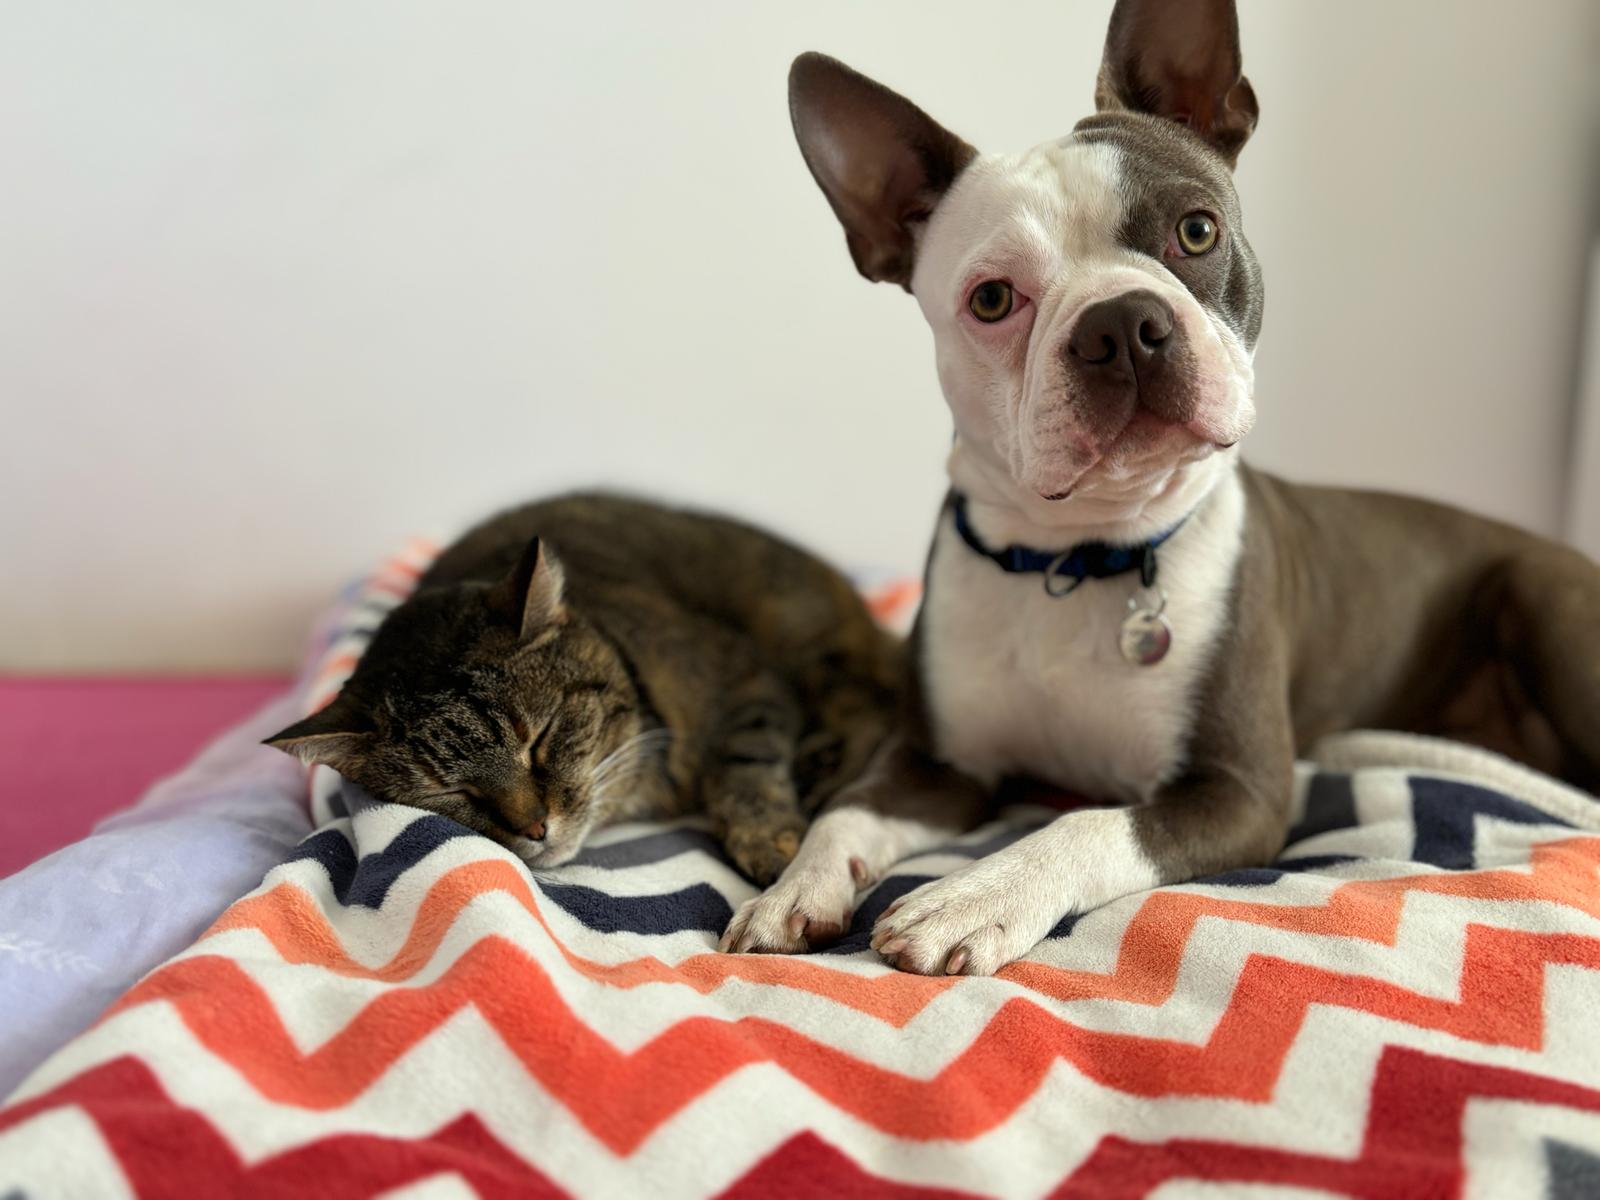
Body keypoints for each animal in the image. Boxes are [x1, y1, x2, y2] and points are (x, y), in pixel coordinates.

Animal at [268, 492, 908, 889]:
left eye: (540, 739)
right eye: (452, 792)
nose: (533, 828)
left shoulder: (748, 680)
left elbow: (744, 763)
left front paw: (766, 837)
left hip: (800, 631)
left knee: (873, 704)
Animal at [726, 0, 1600, 979]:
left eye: (1197, 232)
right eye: (991, 300)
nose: (1120, 324)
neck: (1079, 559)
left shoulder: (1240, 791)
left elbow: (1086, 822)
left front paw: (976, 895)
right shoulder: (934, 767)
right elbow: (842, 811)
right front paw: (791, 889)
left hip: (1544, 594)